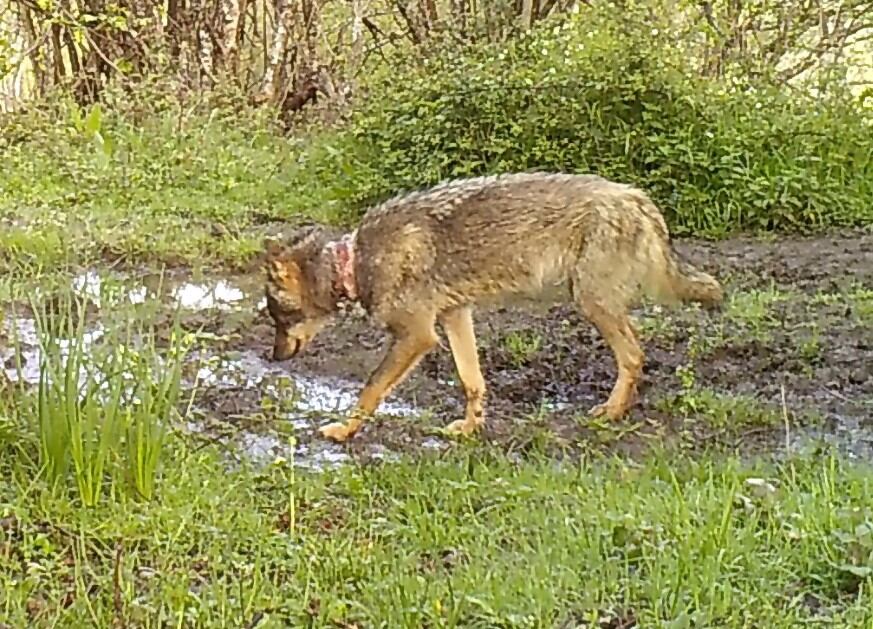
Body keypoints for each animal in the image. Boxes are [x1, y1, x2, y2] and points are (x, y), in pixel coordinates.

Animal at [260, 169, 724, 440]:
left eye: (278, 317)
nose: (273, 357)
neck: (354, 263)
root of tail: (639, 198)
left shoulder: (416, 336)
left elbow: (371, 388)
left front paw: (343, 431)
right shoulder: (455, 316)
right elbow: (473, 381)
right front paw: (470, 428)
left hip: (591, 303)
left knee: (634, 356)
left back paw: (610, 413)